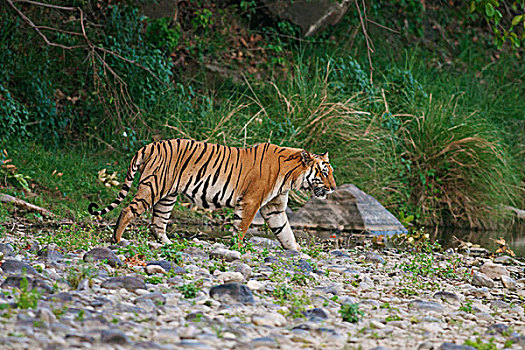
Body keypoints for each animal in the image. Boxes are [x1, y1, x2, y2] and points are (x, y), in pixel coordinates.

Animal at [88, 138, 336, 250]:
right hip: (154, 187)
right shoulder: (251, 201)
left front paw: (297, 252)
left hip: (168, 196)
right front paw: (237, 249)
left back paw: (168, 244)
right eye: (324, 173)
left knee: (157, 223)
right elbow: (241, 228)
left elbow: (285, 232)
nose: (333, 187)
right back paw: (117, 240)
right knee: (128, 210)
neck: (291, 176)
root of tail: (151, 145)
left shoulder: (273, 207)